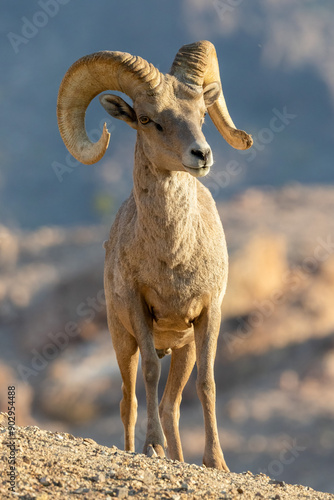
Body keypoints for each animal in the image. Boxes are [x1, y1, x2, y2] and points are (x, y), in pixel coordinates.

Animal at [57, 41, 252, 470]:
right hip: (121, 341)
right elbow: (149, 373)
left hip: (182, 350)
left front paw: (215, 462)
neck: (173, 260)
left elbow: (207, 383)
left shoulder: (206, 317)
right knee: (129, 402)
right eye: (148, 120)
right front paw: (152, 448)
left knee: (171, 406)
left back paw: (180, 457)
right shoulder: (139, 311)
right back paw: (137, 449)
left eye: (201, 116)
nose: (201, 154)